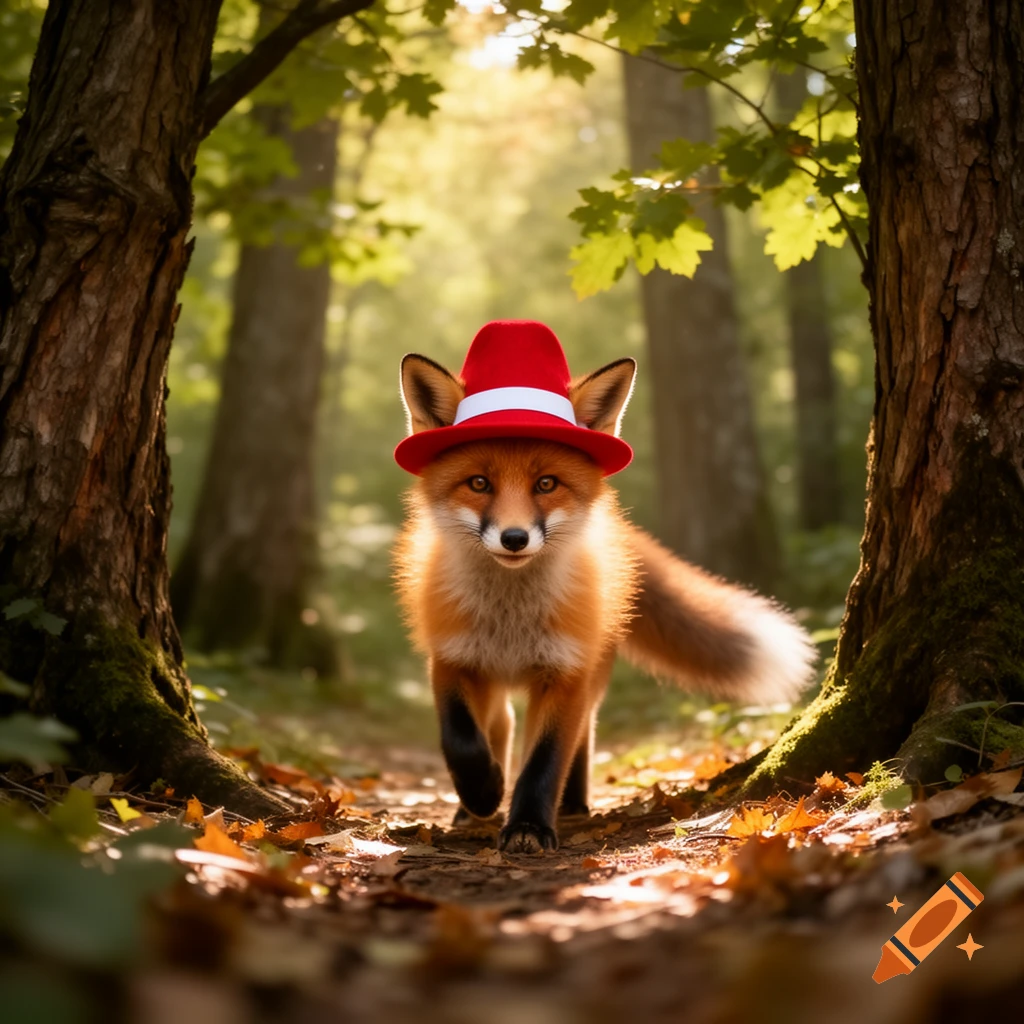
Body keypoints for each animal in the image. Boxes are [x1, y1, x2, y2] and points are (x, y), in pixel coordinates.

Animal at [393, 348, 816, 854]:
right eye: (478, 484)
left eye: (546, 484)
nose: (514, 538)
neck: (511, 619)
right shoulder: (451, 660)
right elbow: (459, 740)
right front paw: (482, 793)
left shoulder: (567, 672)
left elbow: (545, 760)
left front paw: (529, 824)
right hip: (492, 679)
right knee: (502, 725)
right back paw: (472, 806)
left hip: (590, 674)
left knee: (578, 736)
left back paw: (572, 804)